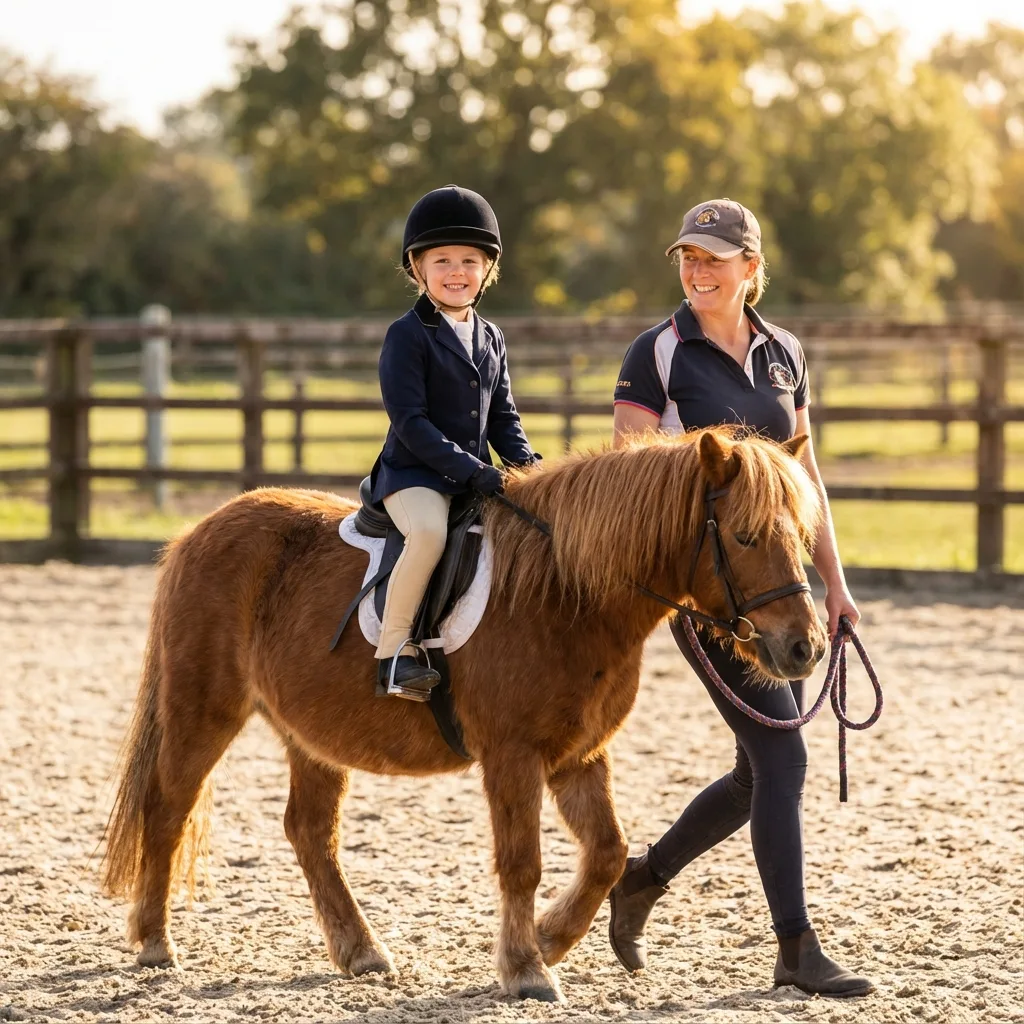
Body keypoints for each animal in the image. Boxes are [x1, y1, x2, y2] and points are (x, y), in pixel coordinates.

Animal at [101, 426, 826, 1004]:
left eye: (802, 536)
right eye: (744, 536)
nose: (806, 648)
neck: (565, 591)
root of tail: (199, 531)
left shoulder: (578, 755)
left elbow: (607, 852)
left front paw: (551, 939)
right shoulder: (512, 756)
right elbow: (523, 861)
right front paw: (527, 969)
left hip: (312, 735)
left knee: (310, 832)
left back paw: (360, 951)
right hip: (203, 709)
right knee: (166, 808)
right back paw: (156, 941)